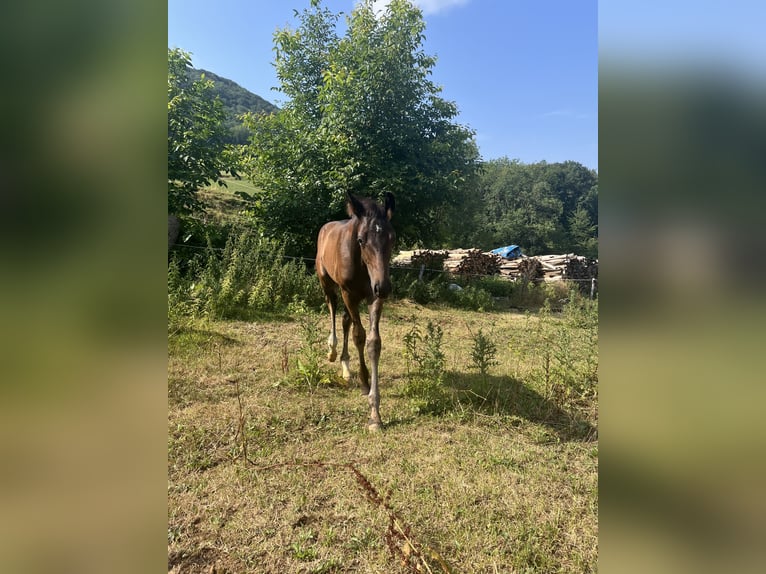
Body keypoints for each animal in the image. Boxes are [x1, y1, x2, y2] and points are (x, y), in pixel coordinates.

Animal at [316, 192, 396, 432]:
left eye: (392, 238)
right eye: (361, 240)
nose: (384, 287)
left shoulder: (373, 297)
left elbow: (373, 342)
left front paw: (375, 414)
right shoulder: (348, 293)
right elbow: (359, 336)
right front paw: (363, 381)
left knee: (345, 320)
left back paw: (345, 366)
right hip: (327, 283)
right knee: (332, 309)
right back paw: (332, 351)